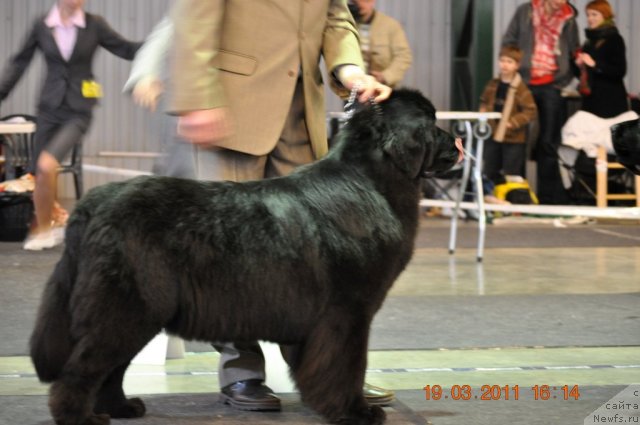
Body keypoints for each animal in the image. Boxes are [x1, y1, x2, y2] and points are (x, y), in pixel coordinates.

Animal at [31, 88, 460, 422]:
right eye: (432, 123)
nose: (457, 142)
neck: (370, 180)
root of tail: (92, 203)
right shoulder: (347, 312)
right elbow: (345, 365)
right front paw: (354, 411)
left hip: (136, 310)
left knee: (110, 369)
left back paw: (121, 408)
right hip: (127, 306)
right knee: (83, 368)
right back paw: (80, 417)